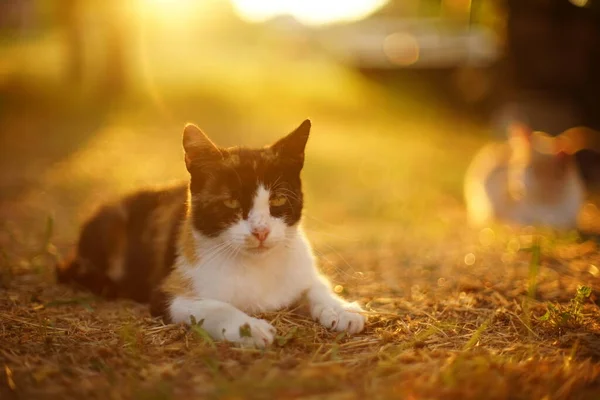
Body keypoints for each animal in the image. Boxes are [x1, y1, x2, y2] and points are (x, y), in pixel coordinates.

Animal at [57, 120, 366, 348]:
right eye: (230, 202)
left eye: (278, 199)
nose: (262, 231)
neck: (256, 266)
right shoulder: (166, 293)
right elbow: (213, 307)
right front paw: (248, 328)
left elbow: (316, 285)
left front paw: (341, 309)